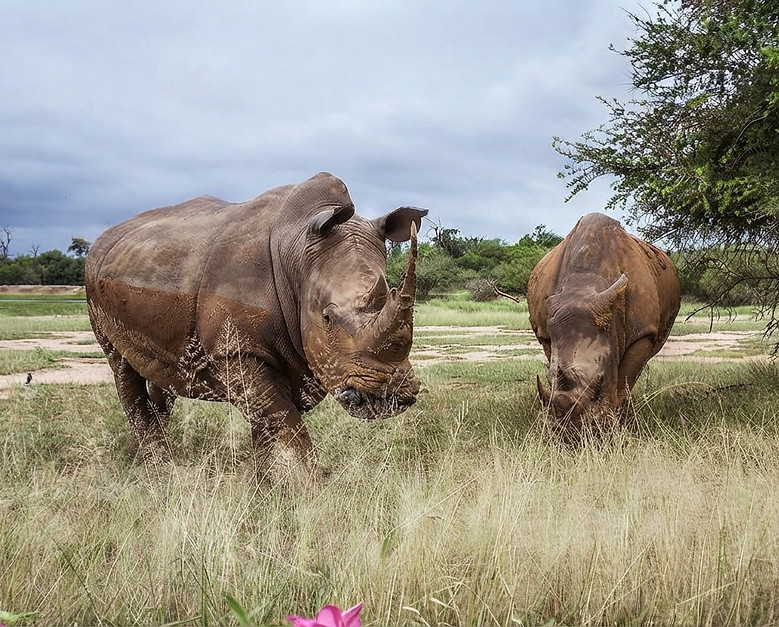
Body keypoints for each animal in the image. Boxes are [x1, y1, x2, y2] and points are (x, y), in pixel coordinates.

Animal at [85, 172, 427, 478]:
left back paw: (145, 456)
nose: (389, 396)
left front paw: (268, 489)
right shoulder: (237, 351)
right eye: (327, 318)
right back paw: (158, 468)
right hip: (93, 279)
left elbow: (267, 427)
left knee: (159, 371)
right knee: (120, 366)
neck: (297, 254)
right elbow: (285, 423)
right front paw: (309, 492)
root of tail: (102, 239)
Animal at [527, 212, 681, 435]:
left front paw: (618, 425)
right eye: (546, 378)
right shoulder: (546, 334)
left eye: (601, 382)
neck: (583, 284)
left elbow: (625, 379)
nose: (572, 436)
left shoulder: (643, 333)